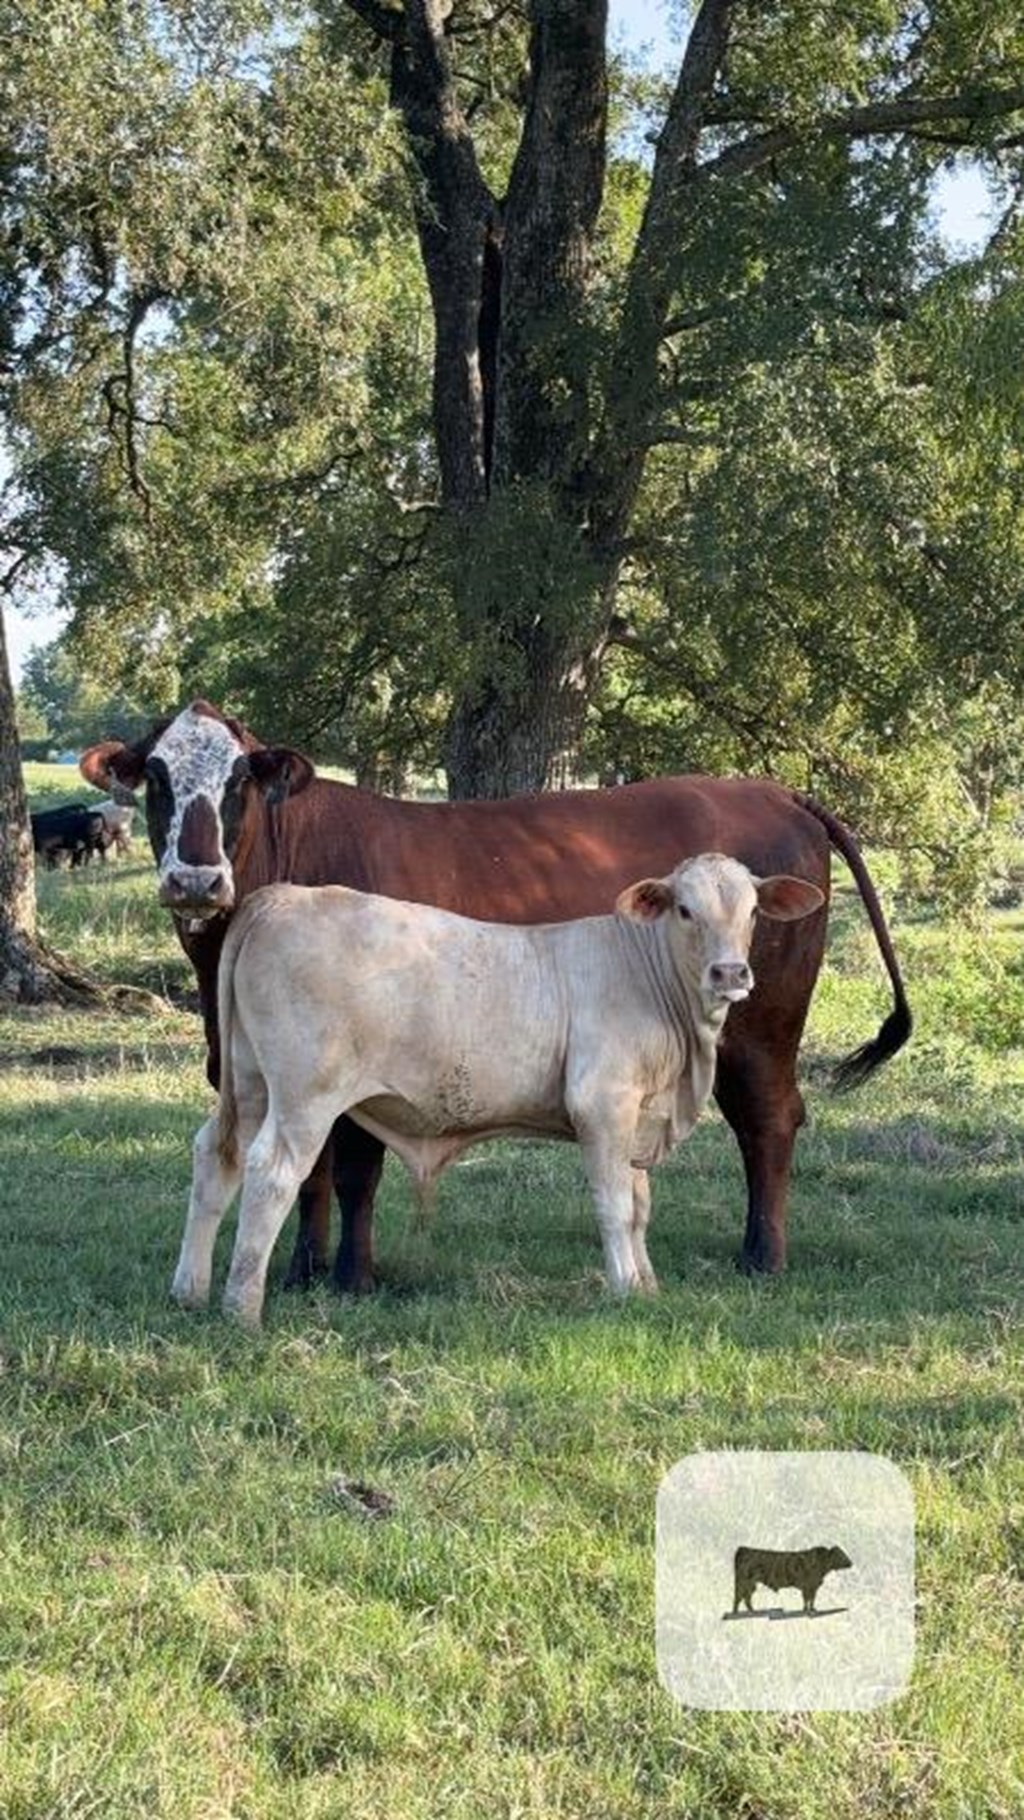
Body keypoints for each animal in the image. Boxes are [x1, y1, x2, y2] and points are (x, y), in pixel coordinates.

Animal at [82, 695, 913, 1295]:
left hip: (763, 1029)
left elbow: (349, 1174)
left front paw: (347, 1277)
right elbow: (312, 1176)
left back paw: (762, 1257)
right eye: (156, 778)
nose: (195, 879)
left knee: (770, 1123)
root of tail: (776, 791)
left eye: (238, 781)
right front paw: (302, 1274)